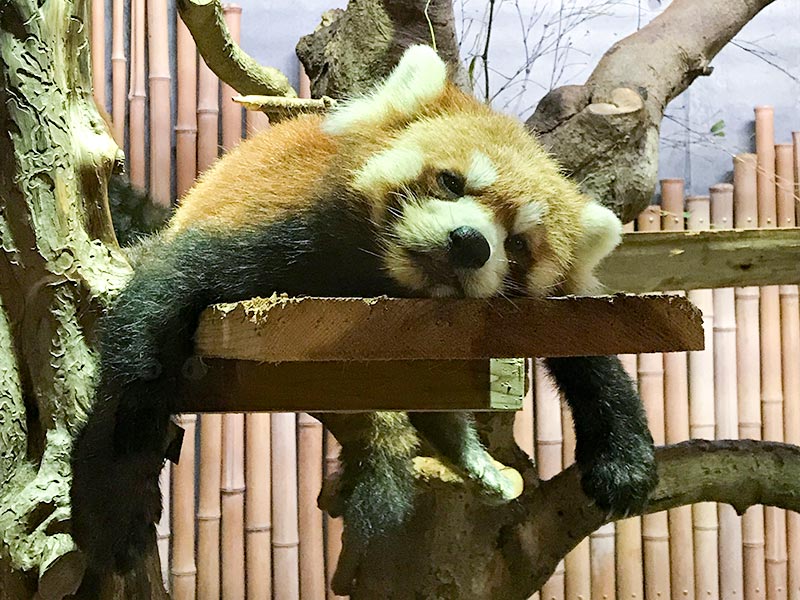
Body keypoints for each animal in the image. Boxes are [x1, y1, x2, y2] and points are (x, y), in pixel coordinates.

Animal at [70, 45, 656, 580]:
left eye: (517, 246)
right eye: (451, 182)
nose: (471, 244)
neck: (386, 282)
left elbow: (588, 343)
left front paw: (625, 459)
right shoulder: (291, 234)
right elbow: (172, 288)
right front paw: (127, 430)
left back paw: (469, 456)